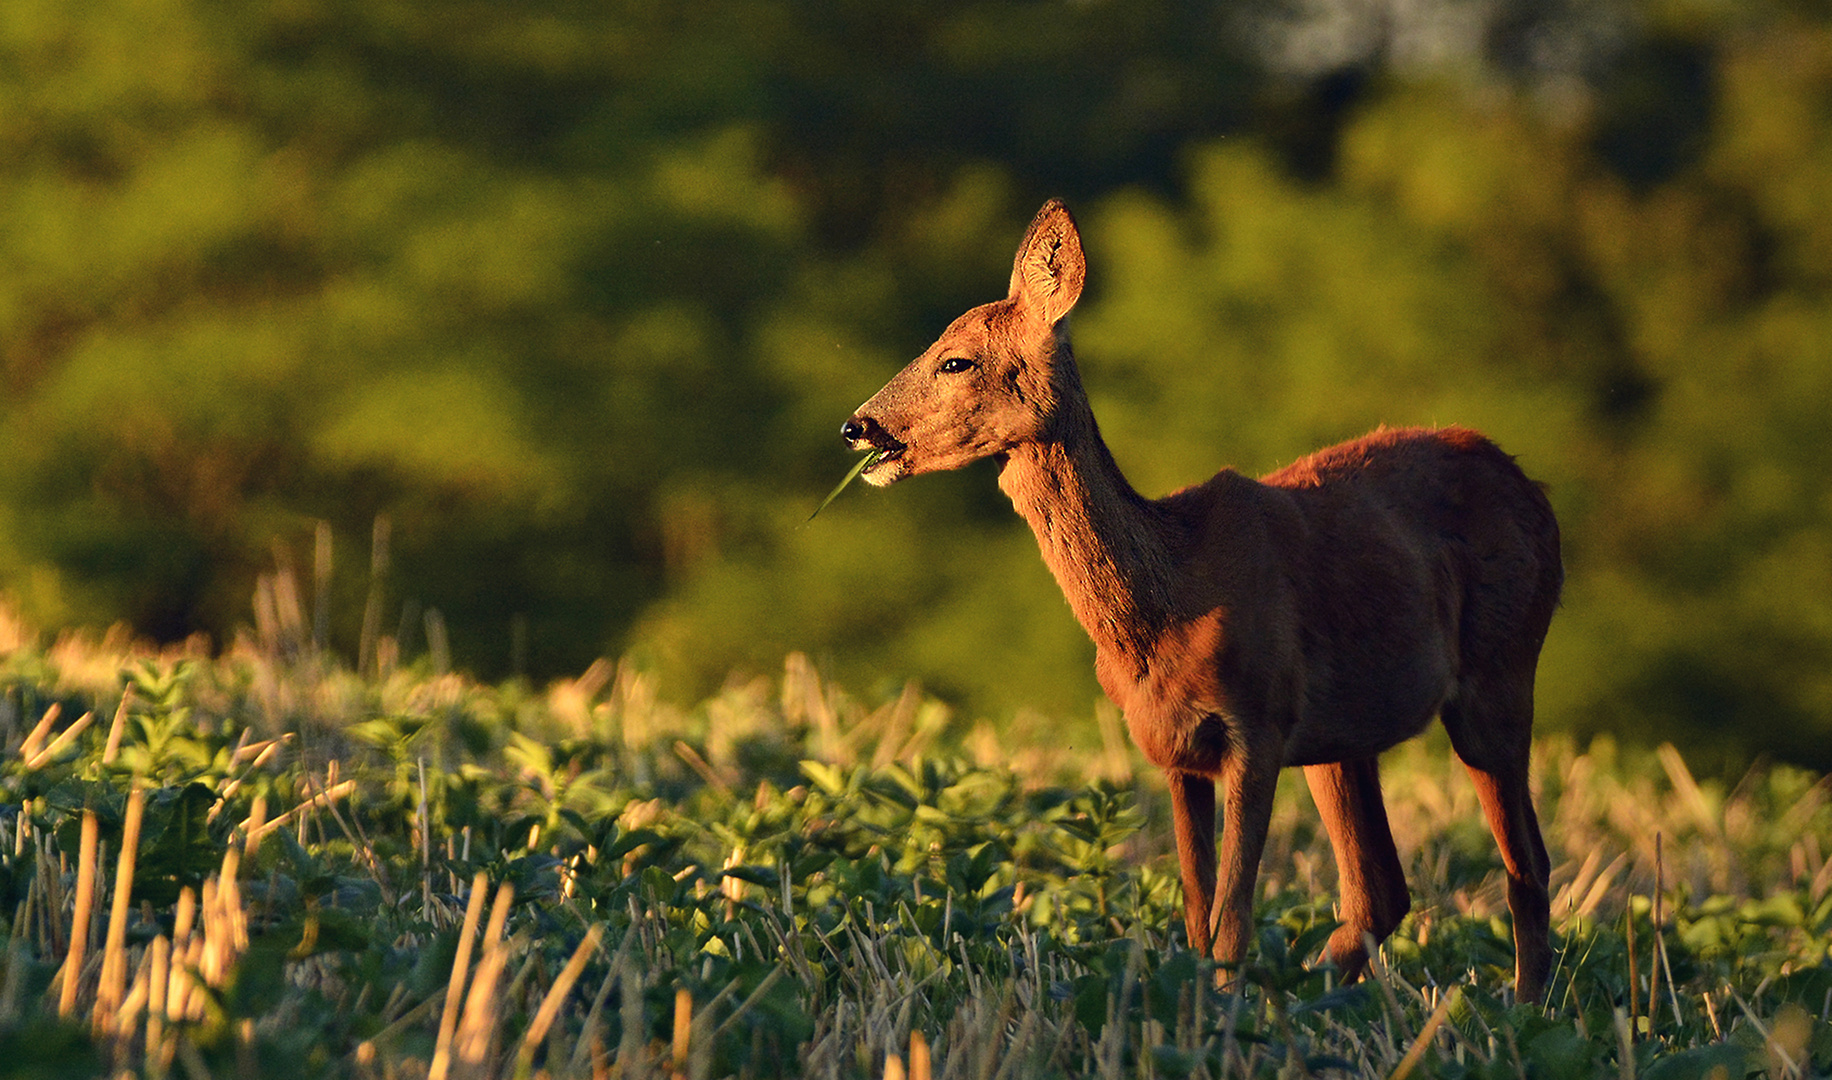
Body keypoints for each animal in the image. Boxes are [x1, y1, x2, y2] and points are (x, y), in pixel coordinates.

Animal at [839, 201, 1560, 995]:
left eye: (955, 359)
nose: (857, 426)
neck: (1166, 603)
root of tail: (1535, 489)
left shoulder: (1258, 723)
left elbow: (1231, 922)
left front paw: (1223, 1006)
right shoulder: (1172, 750)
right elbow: (1194, 915)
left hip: (1499, 669)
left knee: (1526, 865)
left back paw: (1523, 1008)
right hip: (1345, 735)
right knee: (1380, 888)